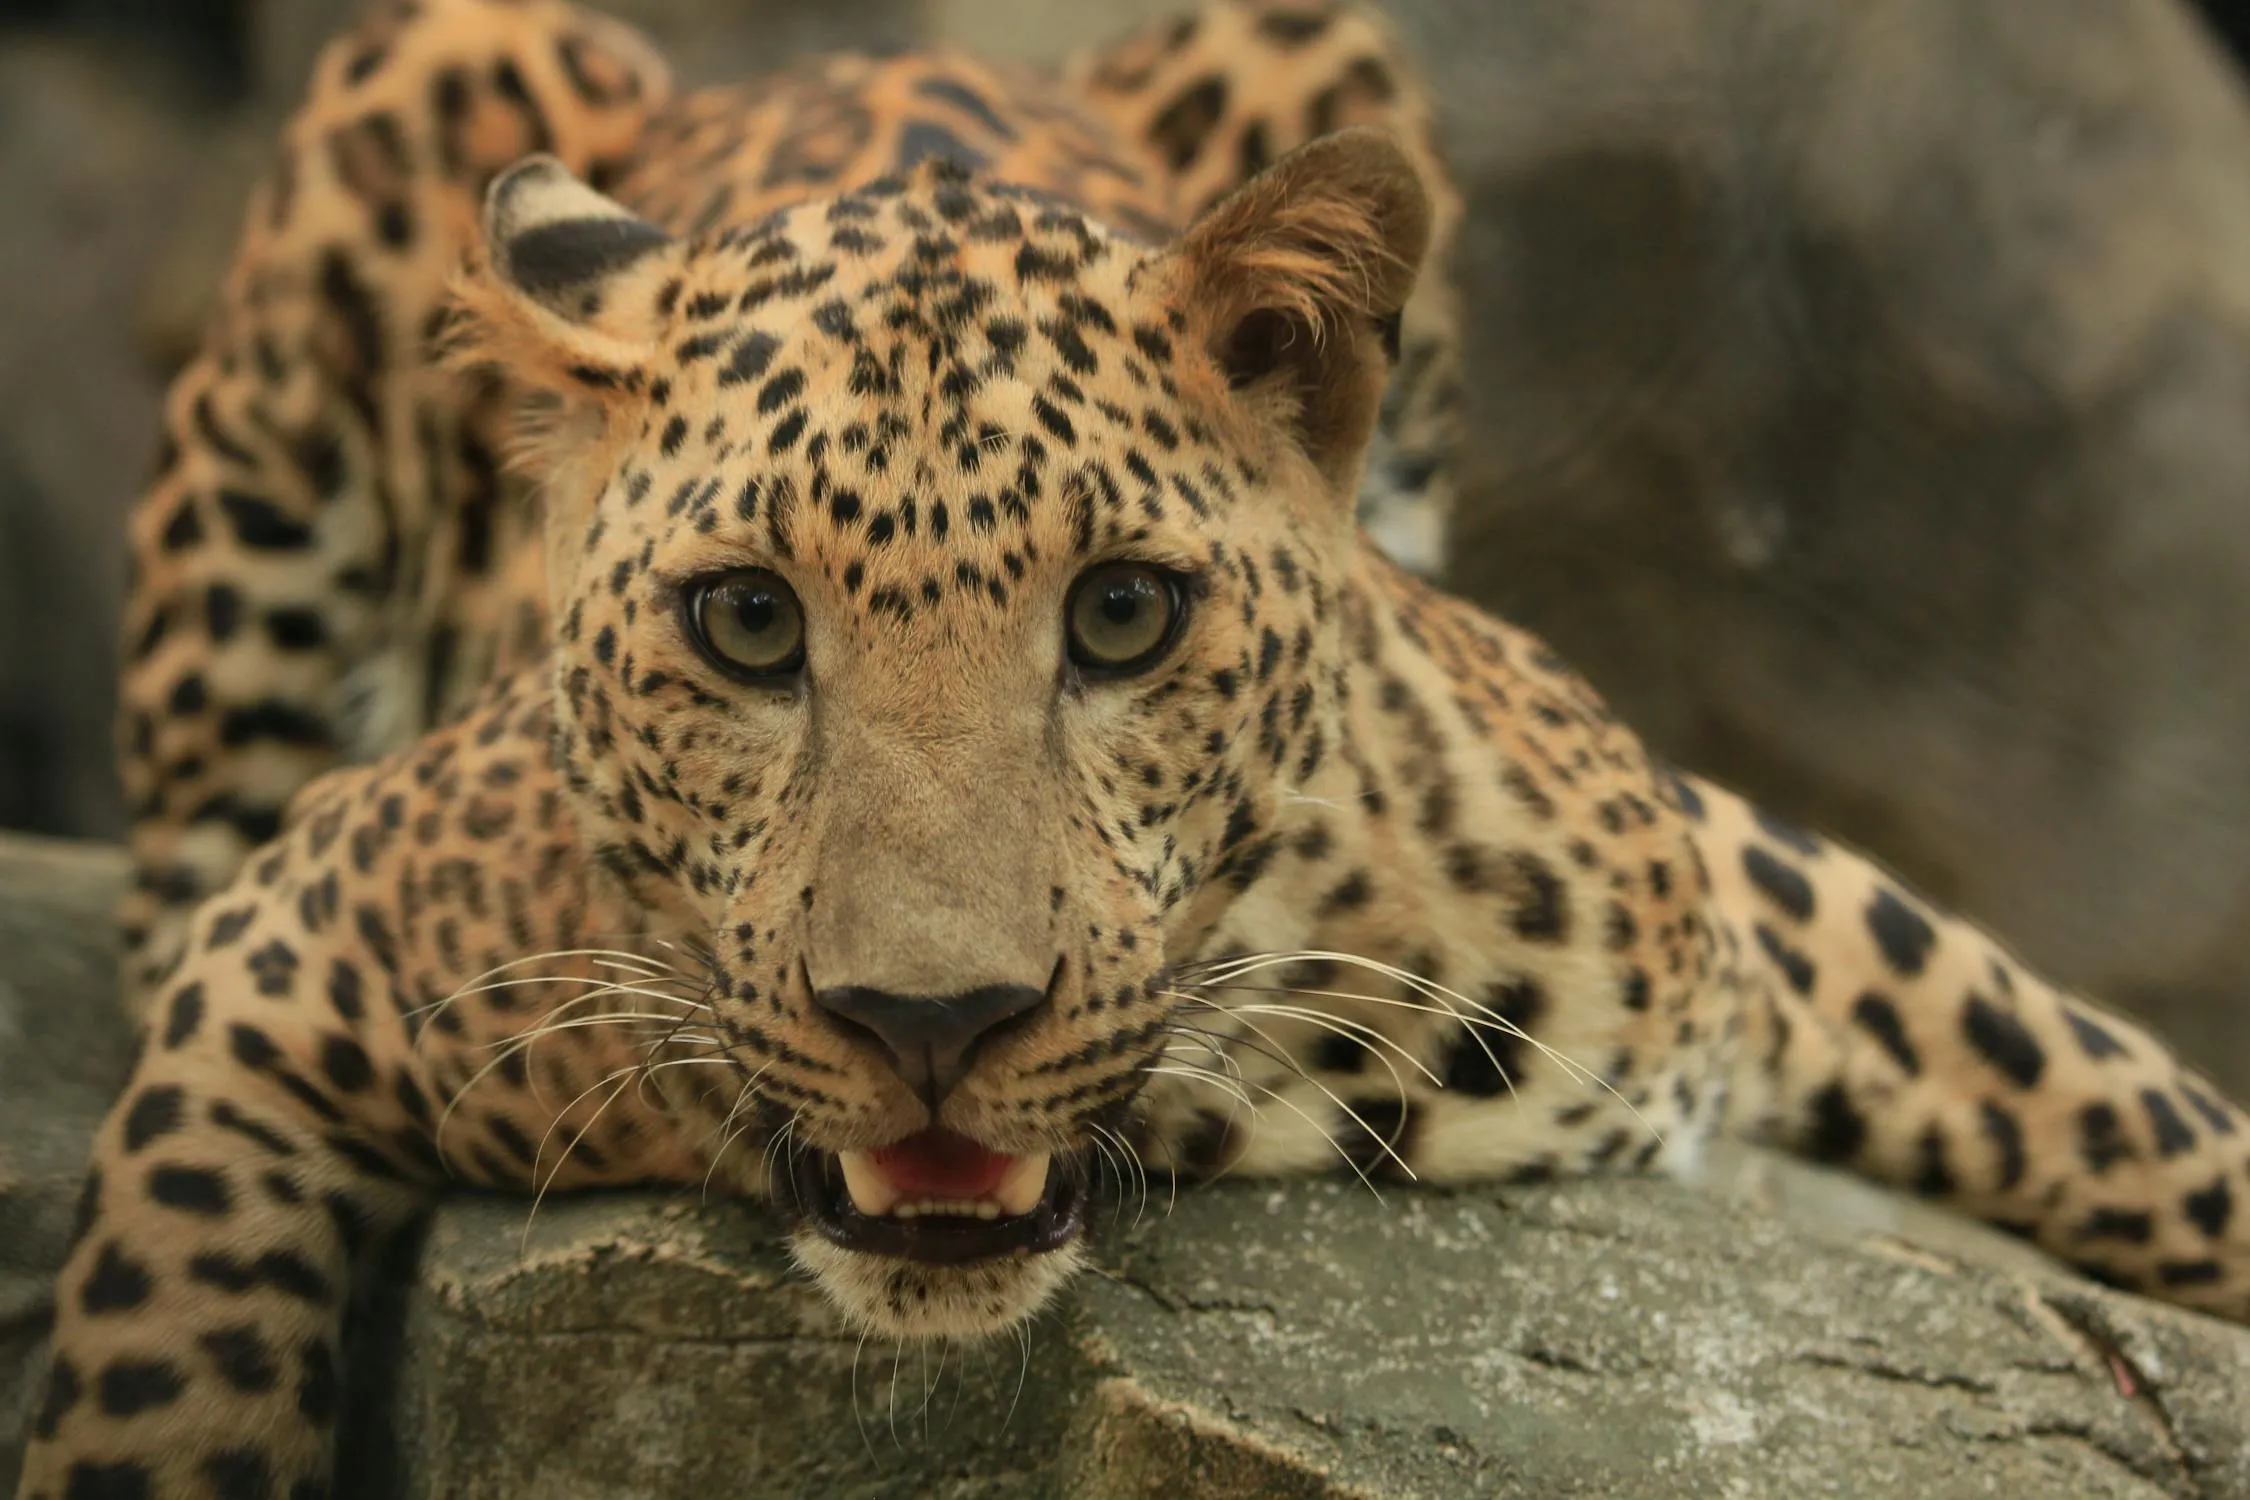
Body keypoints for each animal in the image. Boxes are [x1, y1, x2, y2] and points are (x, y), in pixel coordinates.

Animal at [21, 0, 2250, 1495]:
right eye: (746, 623)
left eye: (1119, 617)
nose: (931, 1022)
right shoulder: (300, 939)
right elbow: (154, 1371)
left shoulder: (1710, 877)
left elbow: (2114, 1101)